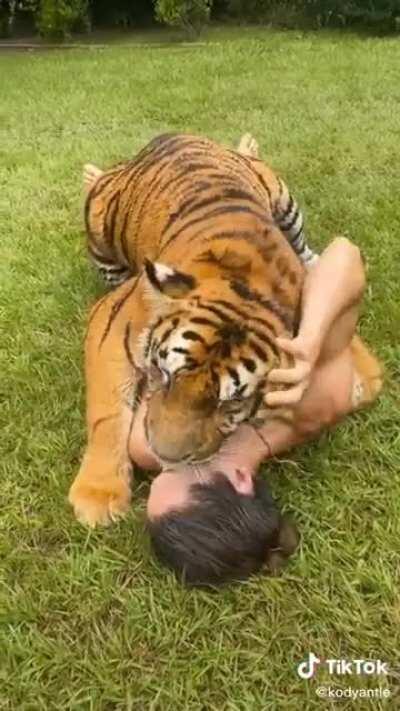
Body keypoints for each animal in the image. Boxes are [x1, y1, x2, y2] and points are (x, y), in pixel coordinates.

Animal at [69, 132, 318, 526]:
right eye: (165, 374)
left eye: (229, 401)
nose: (164, 454)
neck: (248, 289)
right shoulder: (112, 324)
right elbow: (108, 413)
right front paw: (98, 496)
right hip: (100, 231)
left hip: (283, 200)